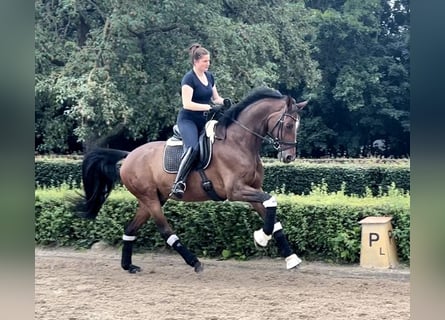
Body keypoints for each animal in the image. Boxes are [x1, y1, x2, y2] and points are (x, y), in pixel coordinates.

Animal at [73, 87, 306, 272]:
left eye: (297, 127)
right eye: (288, 125)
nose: (289, 157)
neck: (239, 142)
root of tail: (128, 156)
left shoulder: (252, 189)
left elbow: (272, 216)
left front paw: (290, 258)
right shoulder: (236, 190)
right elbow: (271, 201)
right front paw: (261, 238)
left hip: (152, 199)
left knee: (130, 229)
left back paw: (128, 266)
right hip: (150, 199)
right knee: (166, 231)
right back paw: (194, 262)